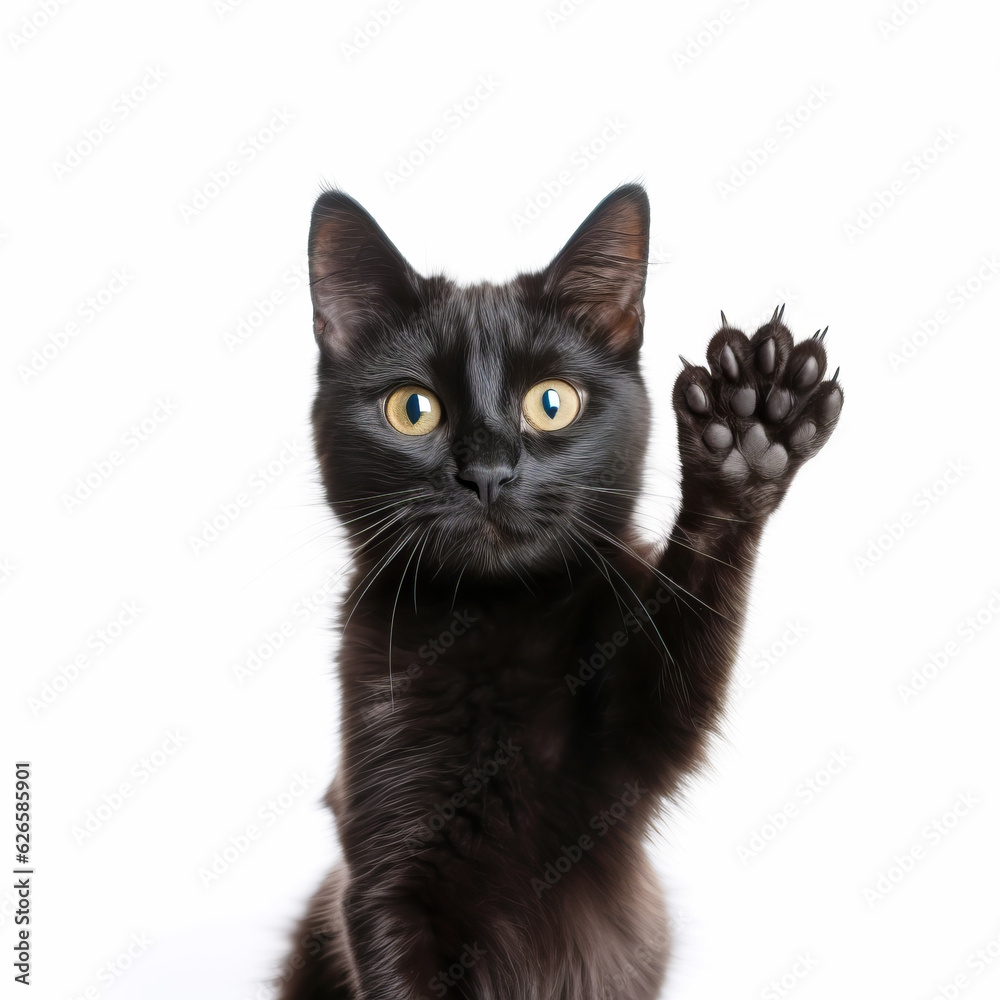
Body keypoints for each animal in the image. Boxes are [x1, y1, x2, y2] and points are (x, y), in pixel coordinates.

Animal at [276, 184, 844, 996]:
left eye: (552, 403)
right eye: (412, 409)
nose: (487, 473)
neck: (492, 624)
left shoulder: (639, 739)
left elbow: (689, 634)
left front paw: (749, 431)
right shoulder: (384, 881)